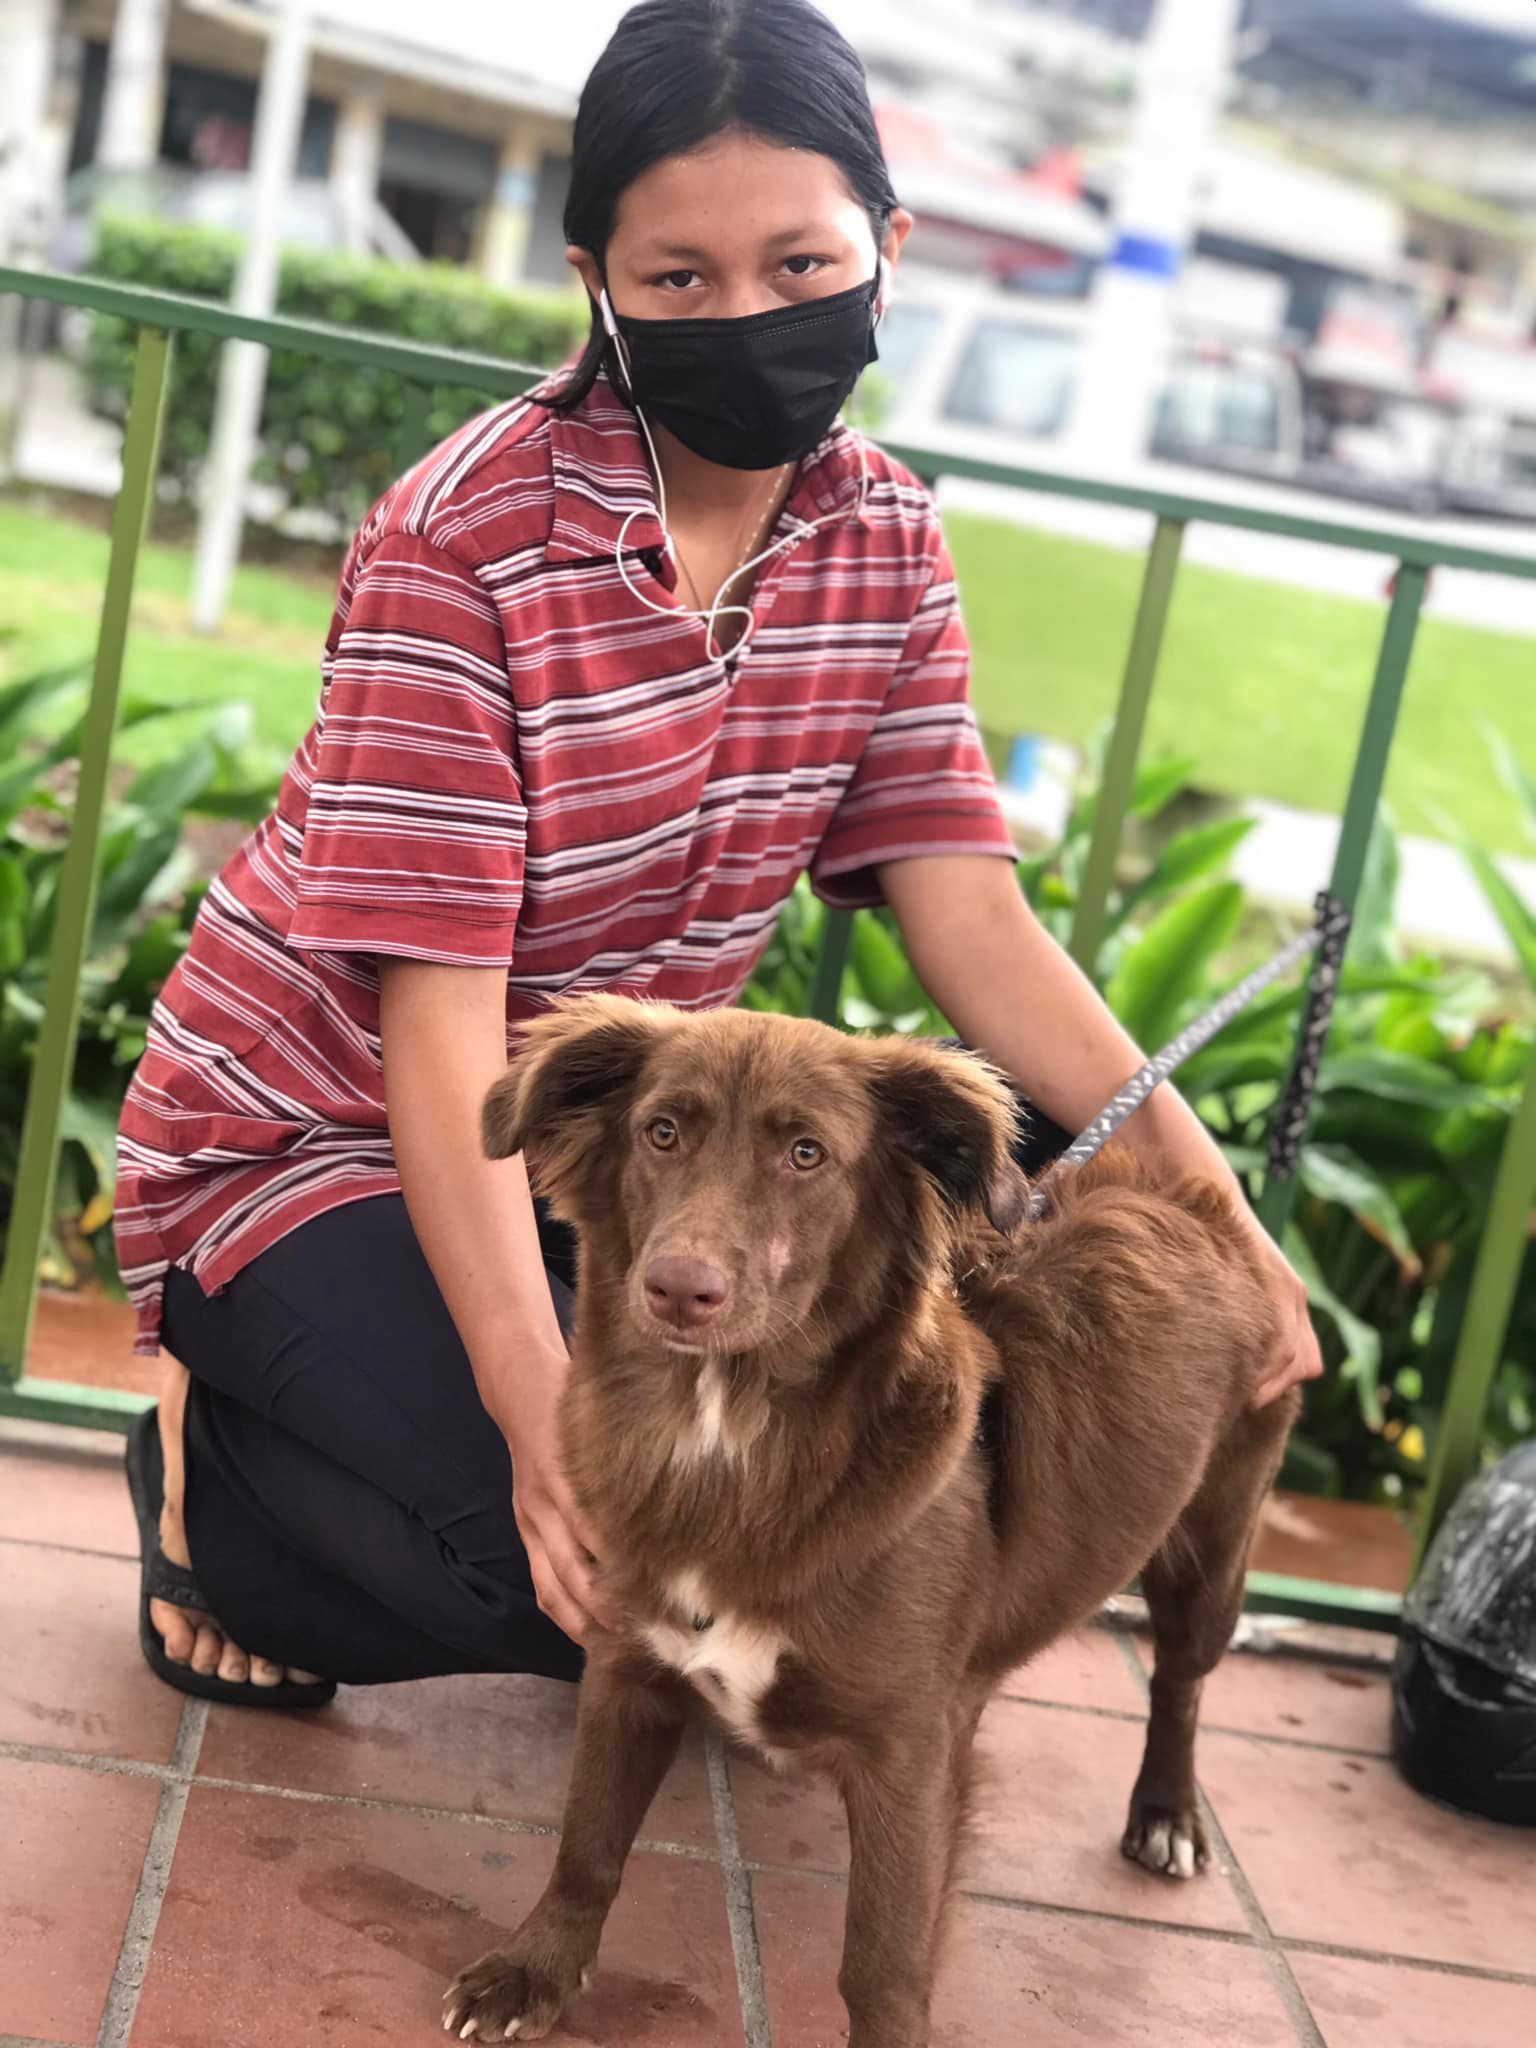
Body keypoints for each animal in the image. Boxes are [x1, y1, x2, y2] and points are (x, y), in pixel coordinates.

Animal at [443, 997, 1297, 2047]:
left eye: (807, 1154)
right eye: (662, 1132)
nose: (679, 1288)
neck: (733, 1442)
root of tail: (1201, 1198)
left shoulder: (904, 1755)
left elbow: (885, 1957)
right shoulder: (626, 1665)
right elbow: (587, 1841)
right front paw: (535, 1969)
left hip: (1213, 1547)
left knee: (1180, 1682)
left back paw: (1168, 1815)